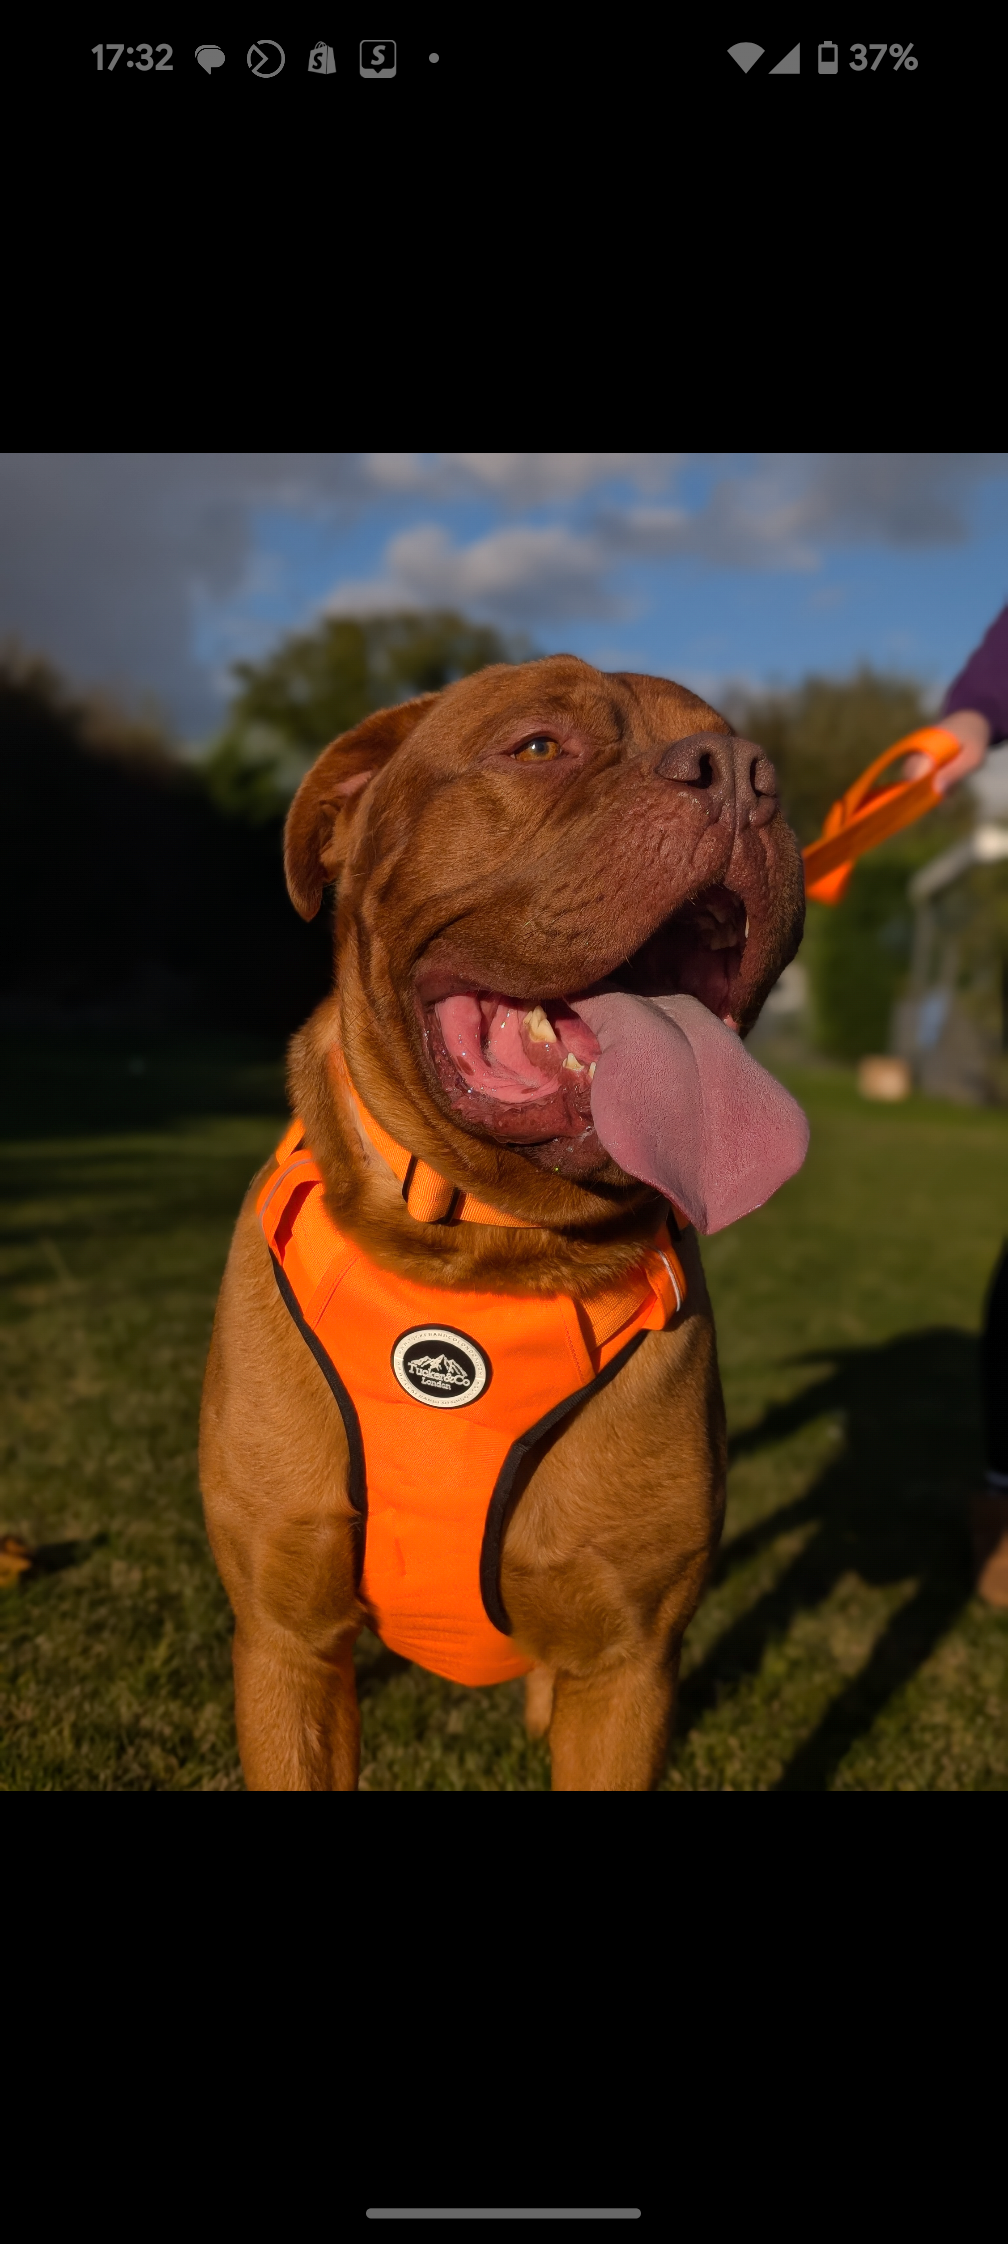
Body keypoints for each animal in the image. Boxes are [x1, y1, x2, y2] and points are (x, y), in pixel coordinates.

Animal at [199, 650, 803, 1786]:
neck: (486, 1245)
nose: (744, 775)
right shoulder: (287, 1637)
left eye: (753, 757)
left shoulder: (627, 1663)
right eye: (537, 746)